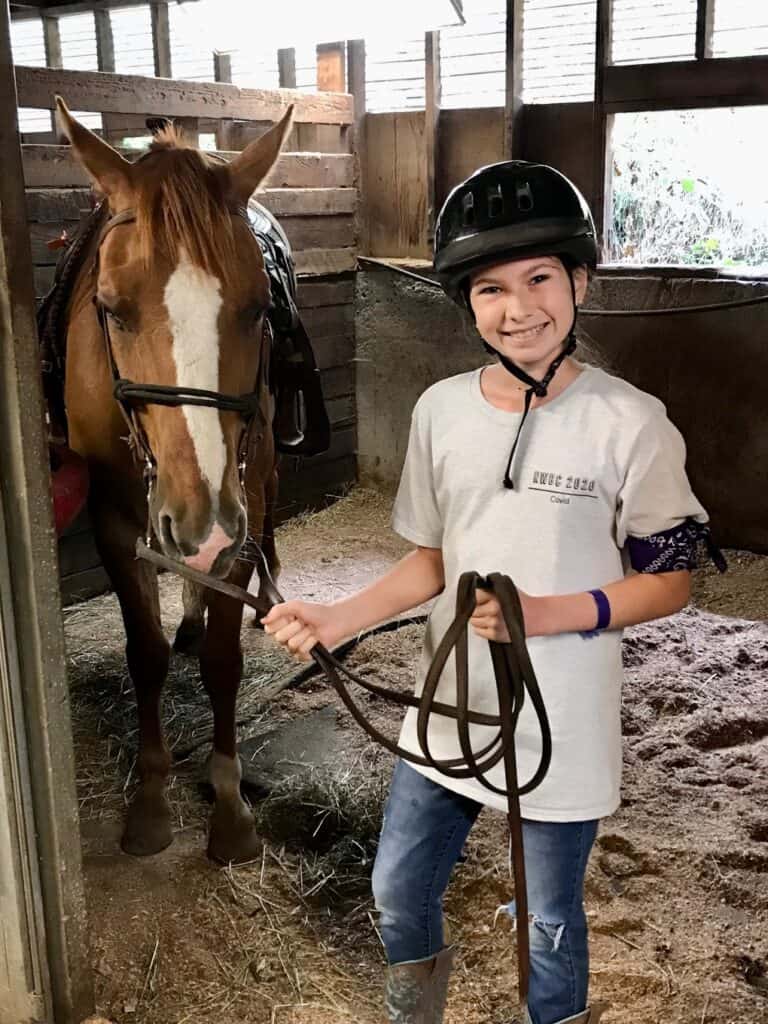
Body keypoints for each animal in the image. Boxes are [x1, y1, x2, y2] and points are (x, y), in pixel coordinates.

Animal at [57, 97, 294, 864]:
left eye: (258, 308)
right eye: (111, 308)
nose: (201, 524)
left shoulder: (239, 506)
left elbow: (222, 661)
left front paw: (229, 806)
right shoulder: (113, 522)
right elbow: (147, 656)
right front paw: (153, 796)